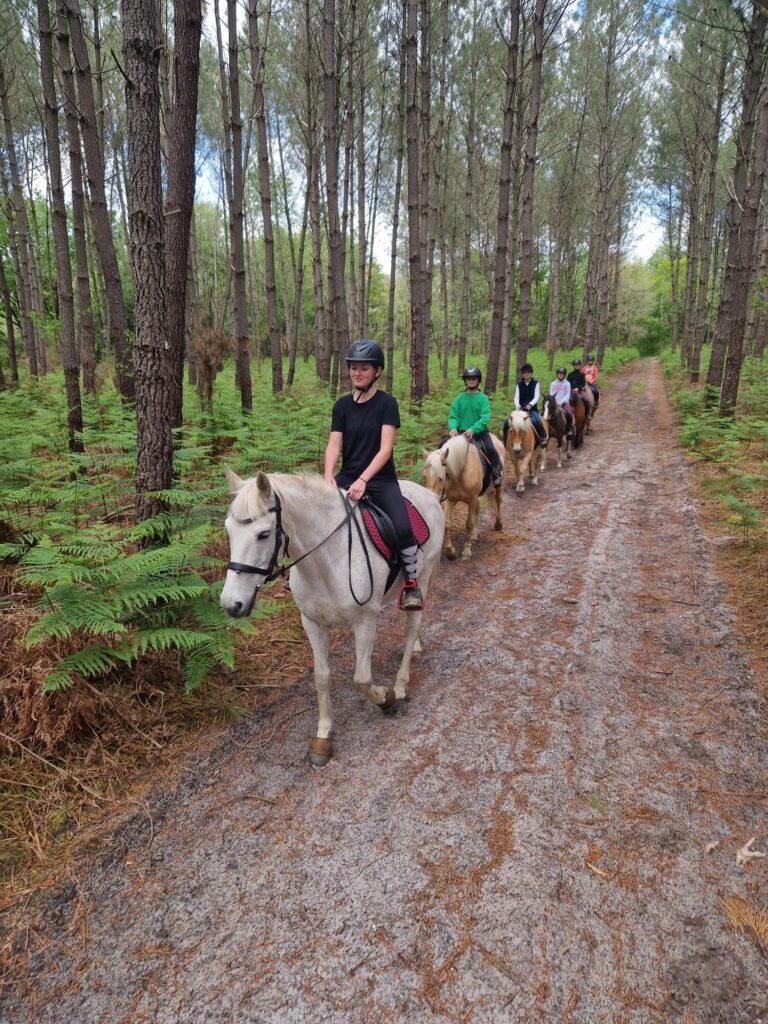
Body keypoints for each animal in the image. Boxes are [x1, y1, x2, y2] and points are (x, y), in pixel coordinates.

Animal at [217, 468, 444, 765]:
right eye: (228, 530)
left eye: (264, 534)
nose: (231, 604)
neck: (326, 560)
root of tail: (428, 494)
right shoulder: (312, 623)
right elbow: (322, 677)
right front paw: (323, 736)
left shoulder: (364, 622)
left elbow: (362, 678)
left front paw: (385, 698)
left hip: (425, 575)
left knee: (412, 624)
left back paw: (401, 683)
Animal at [421, 432, 505, 561]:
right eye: (424, 476)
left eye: (441, 478)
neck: (460, 470)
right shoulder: (450, 499)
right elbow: (446, 523)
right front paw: (450, 551)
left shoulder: (472, 498)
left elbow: (469, 523)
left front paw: (466, 550)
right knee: (478, 508)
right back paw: (476, 533)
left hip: (497, 486)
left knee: (498, 502)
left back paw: (498, 524)